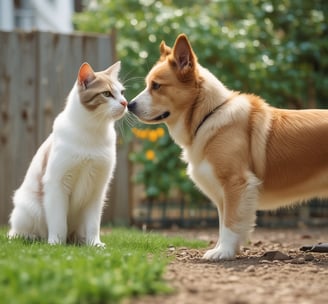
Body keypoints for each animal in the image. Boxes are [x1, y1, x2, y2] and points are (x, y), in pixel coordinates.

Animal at [8, 61, 127, 247]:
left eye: (122, 93)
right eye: (107, 94)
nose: (125, 103)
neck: (92, 132)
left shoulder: (97, 188)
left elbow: (93, 224)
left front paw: (95, 244)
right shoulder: (57, 184)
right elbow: (58, 222)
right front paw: (56, 244)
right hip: (28, 209)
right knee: (17, 234)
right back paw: (31, 238)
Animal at [129, 34, 328, 260]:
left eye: (156, 86)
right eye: (148, 84)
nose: (129, 105)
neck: (208, 115)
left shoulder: (236, 184)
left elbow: (231, 223)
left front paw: (223, 252)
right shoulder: (223, 194)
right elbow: (223, 224)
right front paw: (224, 249)